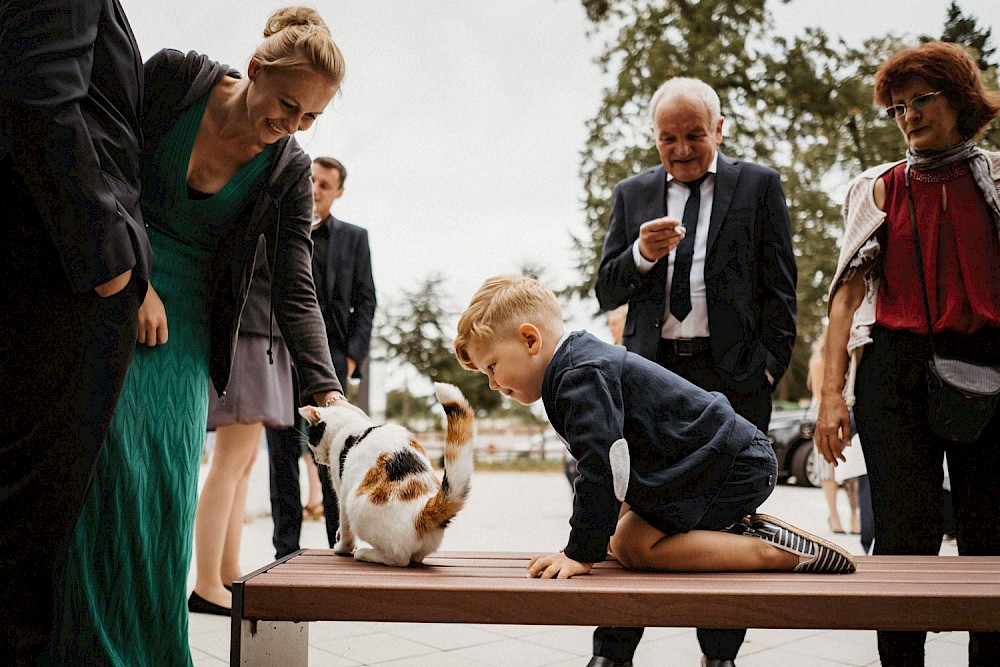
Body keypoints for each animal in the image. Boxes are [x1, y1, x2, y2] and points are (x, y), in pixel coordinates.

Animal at [298, 384, 474, 568]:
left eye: (311, 440)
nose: (316, 458)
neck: (350, 425)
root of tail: (423, 510)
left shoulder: (343, 493)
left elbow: (346, 531)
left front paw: (341, 548)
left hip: (355, 506)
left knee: (399, 559)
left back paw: (365, 553)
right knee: (415, 557)